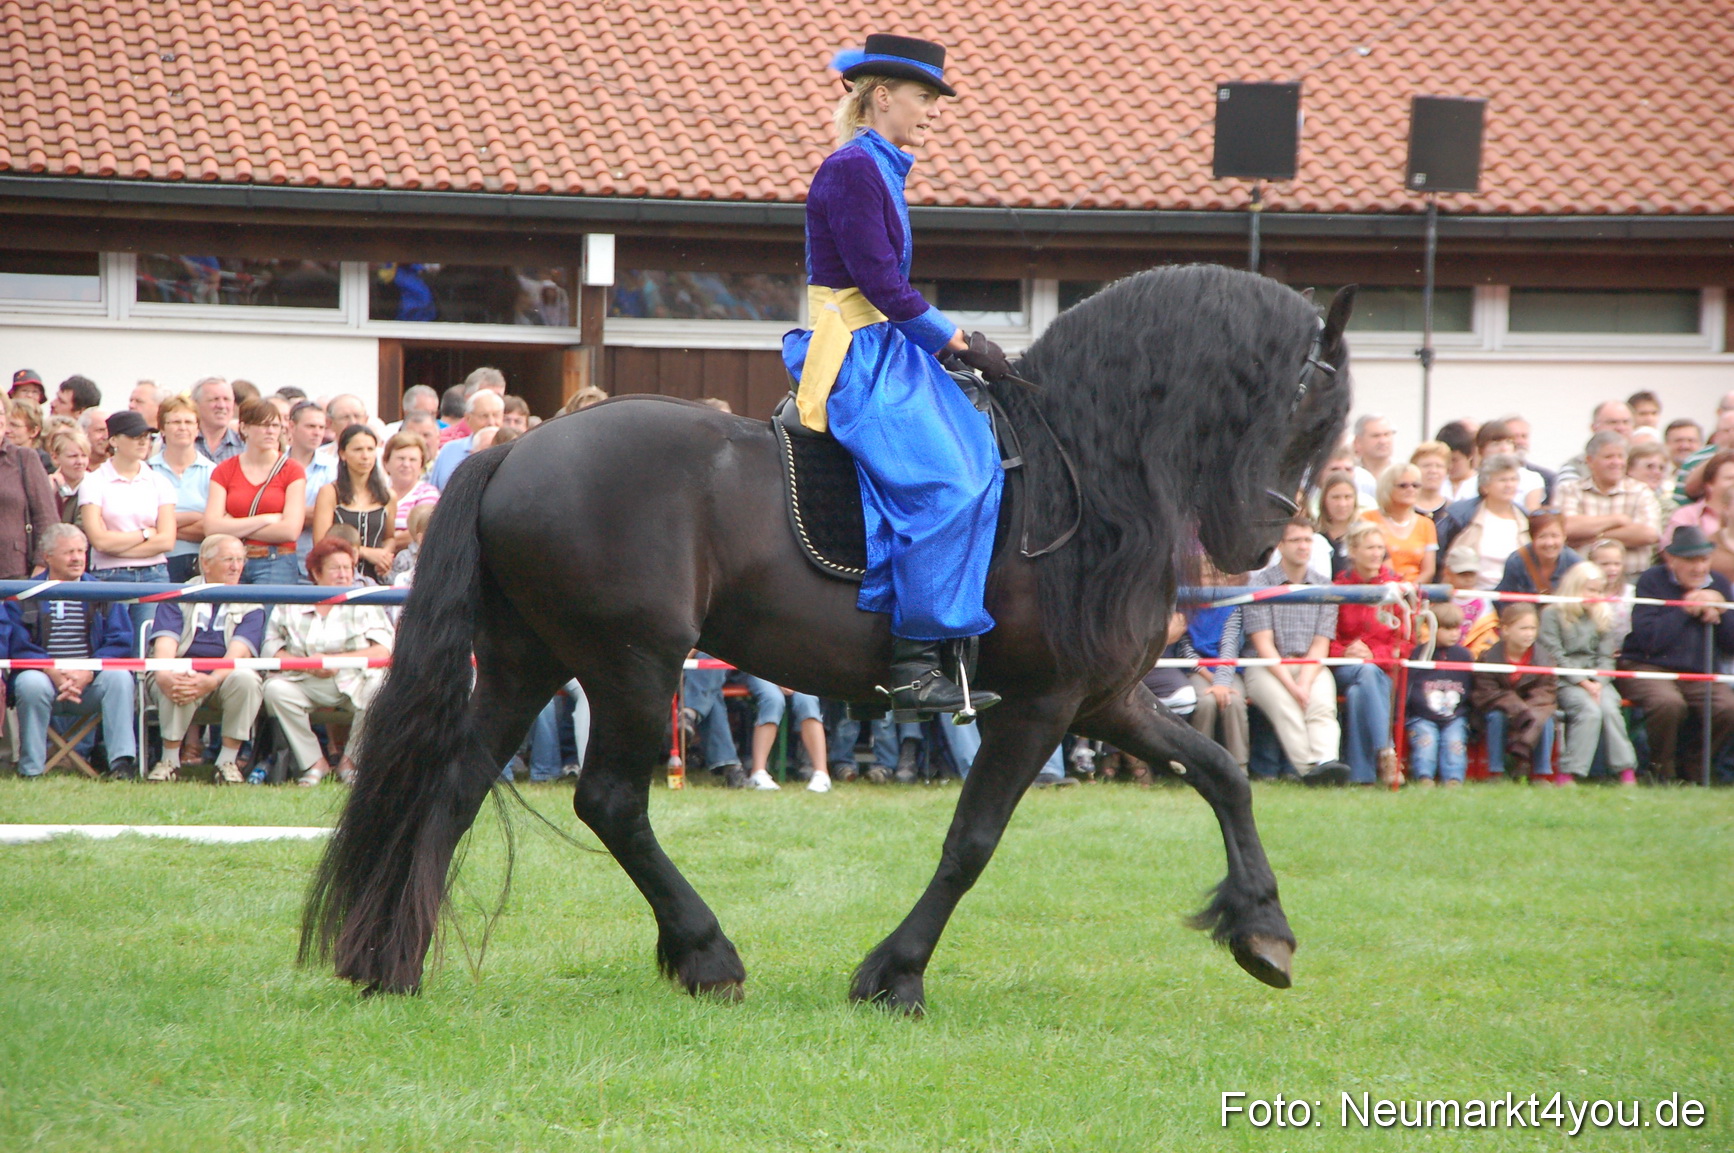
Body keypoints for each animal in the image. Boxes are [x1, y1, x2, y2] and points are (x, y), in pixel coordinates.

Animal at [301, 264, 1355, 1014]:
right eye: (1311, 406)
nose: (1258, 542)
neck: (1082, 471)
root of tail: (518, 447)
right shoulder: (1042, 704)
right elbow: (973, 838)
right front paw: (895, 974)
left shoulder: (1100, 697)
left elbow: (1222, 774)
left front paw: (1263, 927)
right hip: (633, 664)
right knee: (610, 801)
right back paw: (705, 952)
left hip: (530, 662)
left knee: (456, 784)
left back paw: (390, 963)